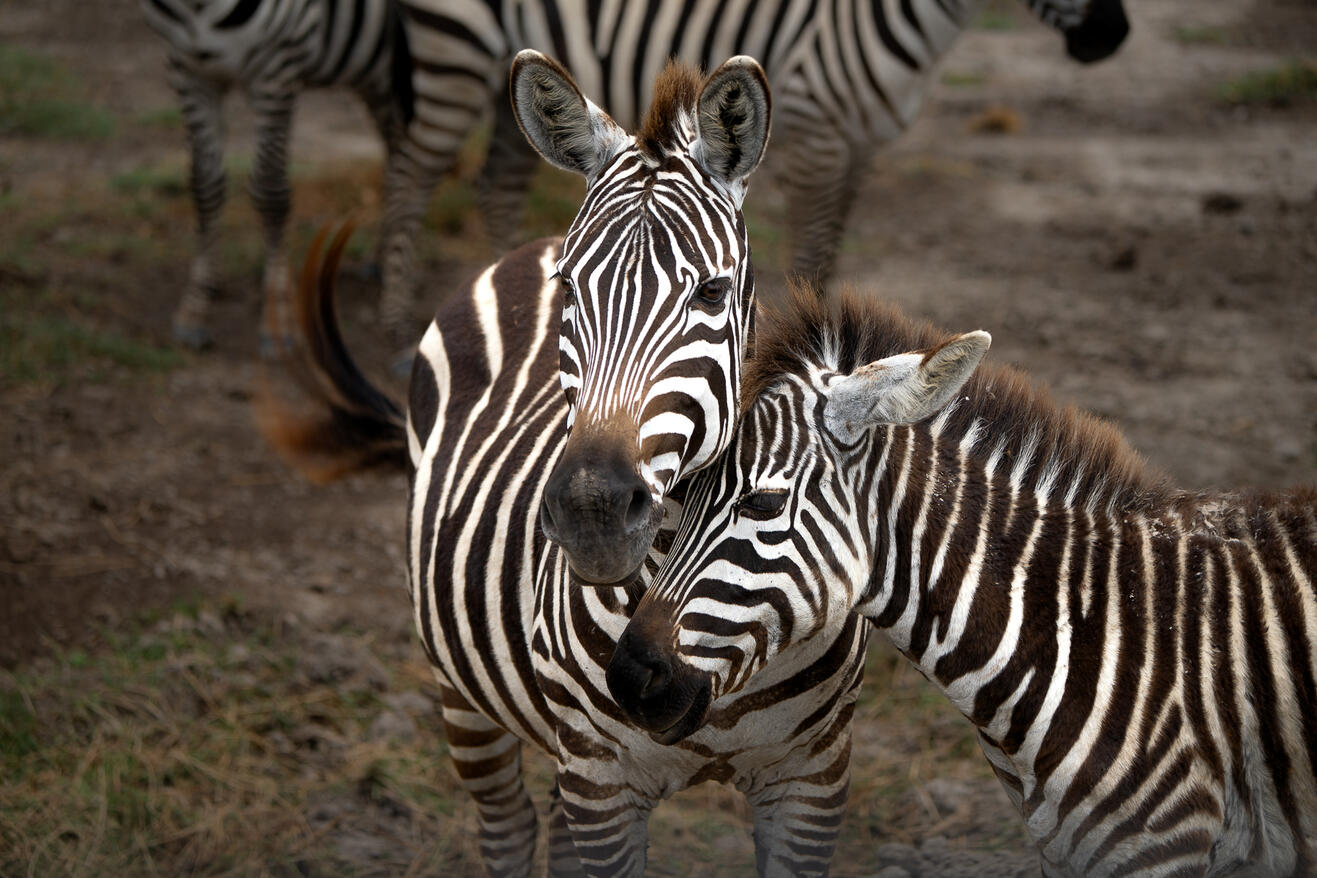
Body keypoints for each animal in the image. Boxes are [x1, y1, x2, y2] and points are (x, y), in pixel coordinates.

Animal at [141, 0, 414, 348]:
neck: (196, 7)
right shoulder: (188, 70)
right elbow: (205, 185)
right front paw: (194, 309)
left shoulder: (278, 67)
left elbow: (270, 188)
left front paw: (275, 319)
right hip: (380, 70)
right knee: (398, 153)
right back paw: (383, 260)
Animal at [261, 56, 874, 876]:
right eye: (572, 290)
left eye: (713, 291)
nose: (593, 513)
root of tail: (535, 240)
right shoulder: (601, 778)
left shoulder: (811, 777)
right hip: (461, 691)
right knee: (508, 824)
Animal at [373, 0, 1129, 339]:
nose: (1110, 37)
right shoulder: (821, 129)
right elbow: (814, 254)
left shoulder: (861, 143)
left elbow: (833, 245)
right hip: (454, 45)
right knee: (410, 173)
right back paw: (395, 316)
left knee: (494, 185)